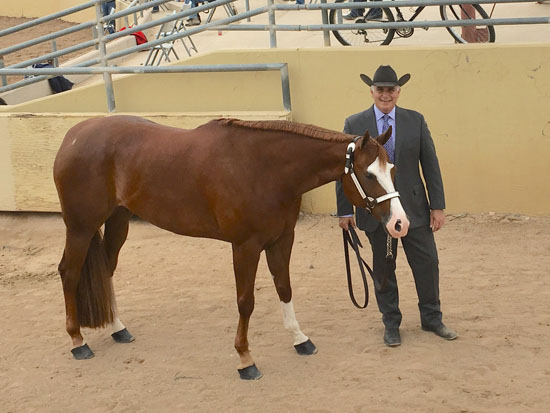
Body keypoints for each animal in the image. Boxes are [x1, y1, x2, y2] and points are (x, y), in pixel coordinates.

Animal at [53, 115, 410, 380]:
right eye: (368, 174)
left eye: (392, 169)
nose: (399, 224)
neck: (263, 169)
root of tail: (72, 136)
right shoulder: (245, 246)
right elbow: (245, 302)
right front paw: (245, 359)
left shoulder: (282, 239)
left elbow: (284, 288)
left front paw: (300, 339)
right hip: (81, 227)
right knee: (69, 273)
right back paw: (78, 341)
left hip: (118, 221)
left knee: (106, 270)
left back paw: (118, 329)